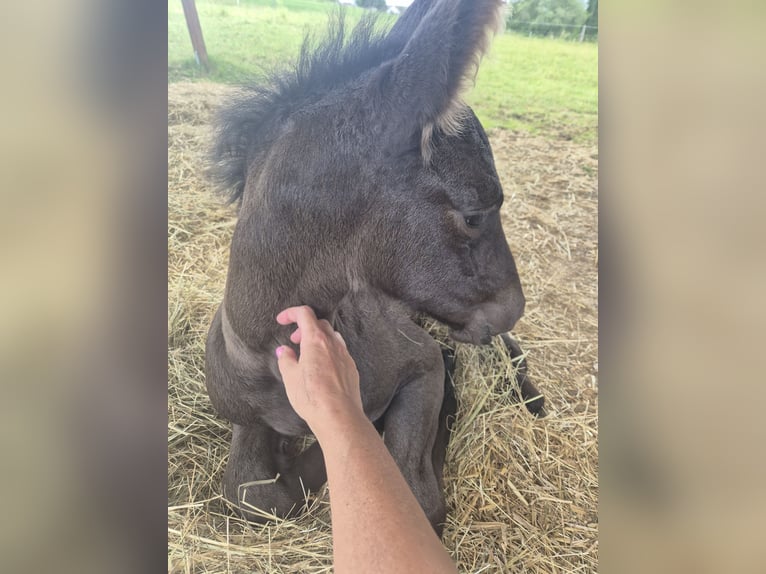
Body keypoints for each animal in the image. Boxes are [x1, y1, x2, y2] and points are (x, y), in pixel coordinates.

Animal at [205, 0, 544, 535]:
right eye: (473, 214)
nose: (512, 308)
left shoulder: (423, 366)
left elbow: (418, 497)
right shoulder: (243, 416)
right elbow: (252, 495)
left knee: (513, 357)